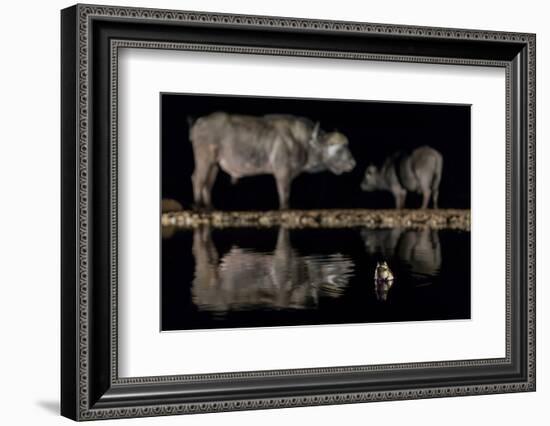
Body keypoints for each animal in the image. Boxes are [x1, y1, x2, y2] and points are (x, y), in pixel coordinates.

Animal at [190, 111, 358, 208]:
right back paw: (197, 206)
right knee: (198, 179)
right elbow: (285, 198)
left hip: (214, 164)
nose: (353, 163)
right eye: (338, 149)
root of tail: (199, 123)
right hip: (204, 159)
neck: (302, 142)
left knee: (208, 183)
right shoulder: (283, 174)